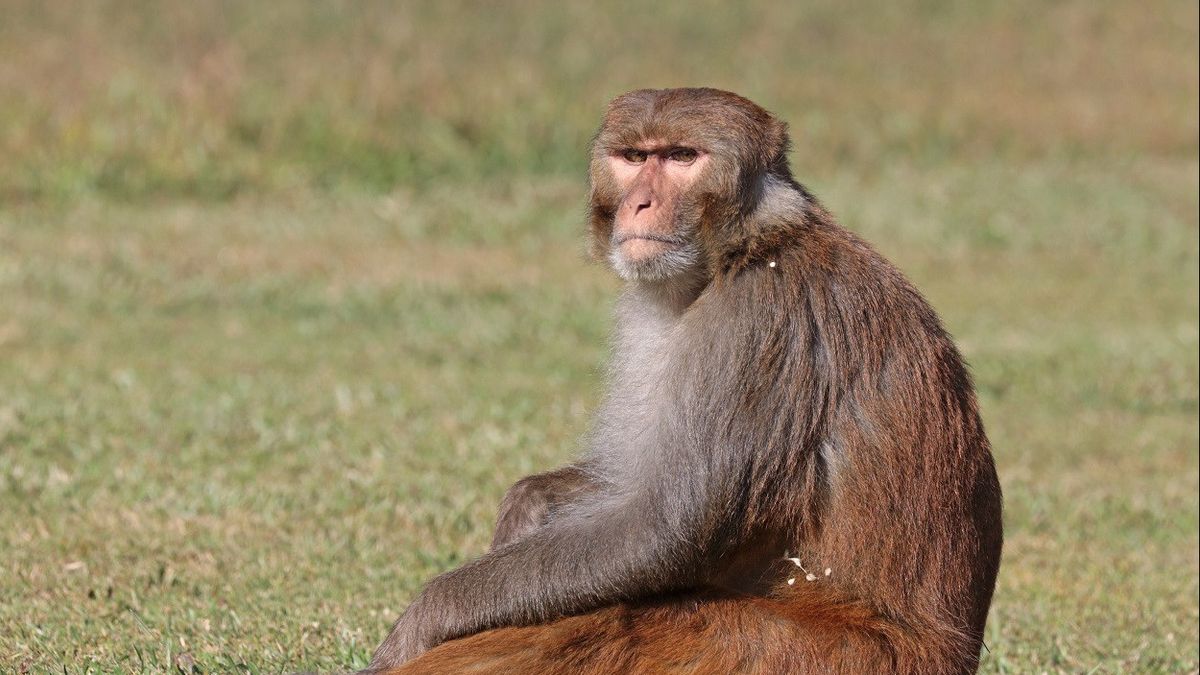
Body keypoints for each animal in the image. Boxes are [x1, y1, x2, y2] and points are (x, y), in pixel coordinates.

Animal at [362, 88, 1003, 672]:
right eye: (632, 157)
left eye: (680, 157)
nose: (640, 203)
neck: (738, 253)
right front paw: (528, 503)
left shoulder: (758, 322)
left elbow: (662, 530)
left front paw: (426, 617)